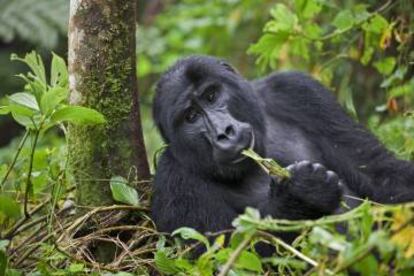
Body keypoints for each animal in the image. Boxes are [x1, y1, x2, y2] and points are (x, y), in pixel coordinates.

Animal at [150, 55, 414, 235]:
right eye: (191, 116)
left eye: (212, 95)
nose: (224, 133)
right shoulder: (173, 180)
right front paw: (302, 197)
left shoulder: (296, 89)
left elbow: (379, 172)